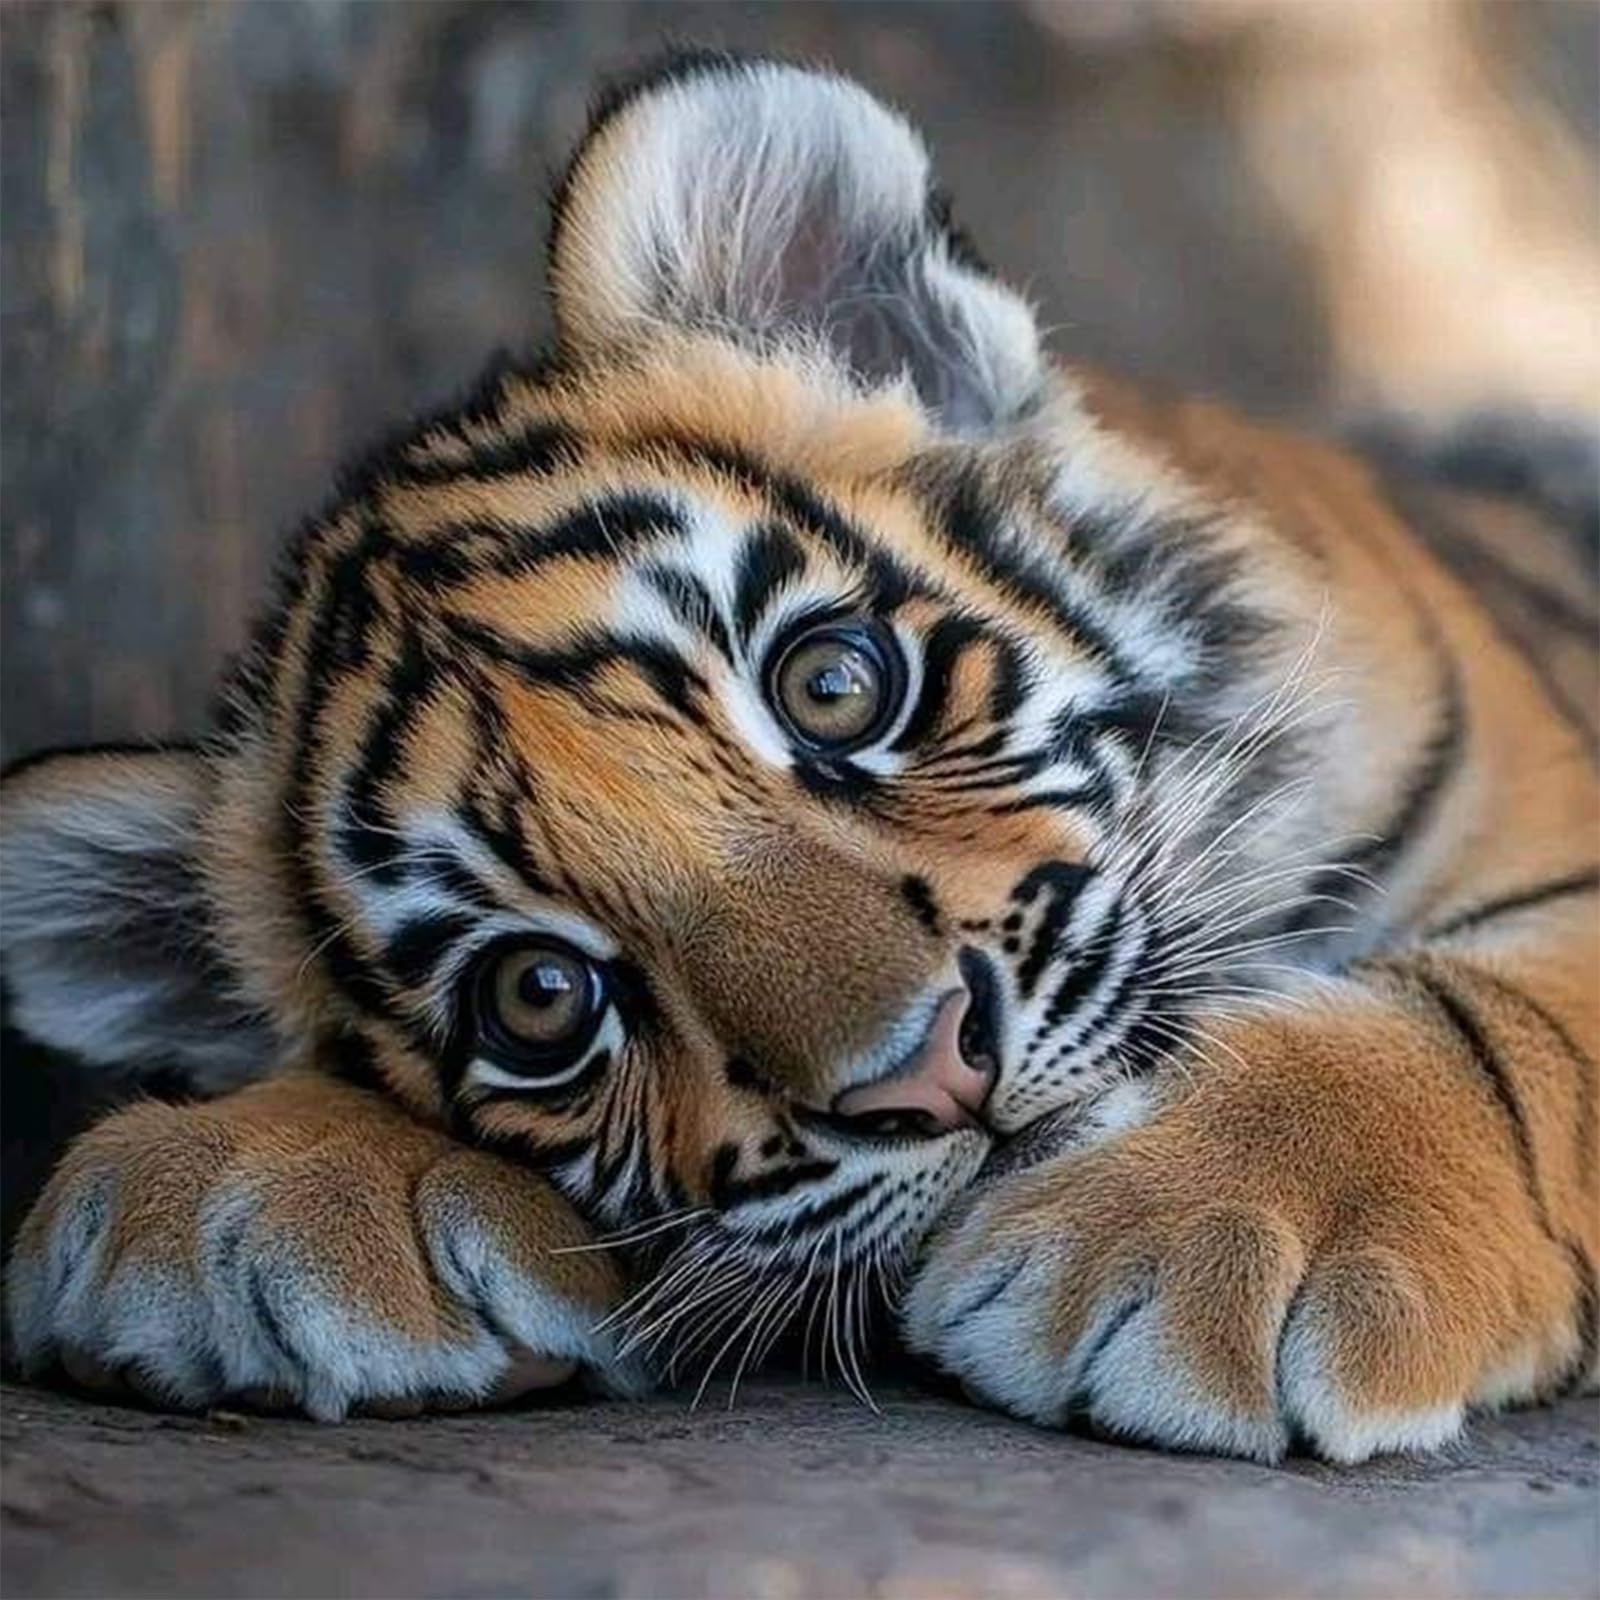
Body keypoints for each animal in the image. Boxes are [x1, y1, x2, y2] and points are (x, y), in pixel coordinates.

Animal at [3, 52, 1595, 1462]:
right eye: (538, 997)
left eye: (833, 685)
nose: (930, 1078)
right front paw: (230, 1185)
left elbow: (1495, 1018)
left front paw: (1190, 1232)